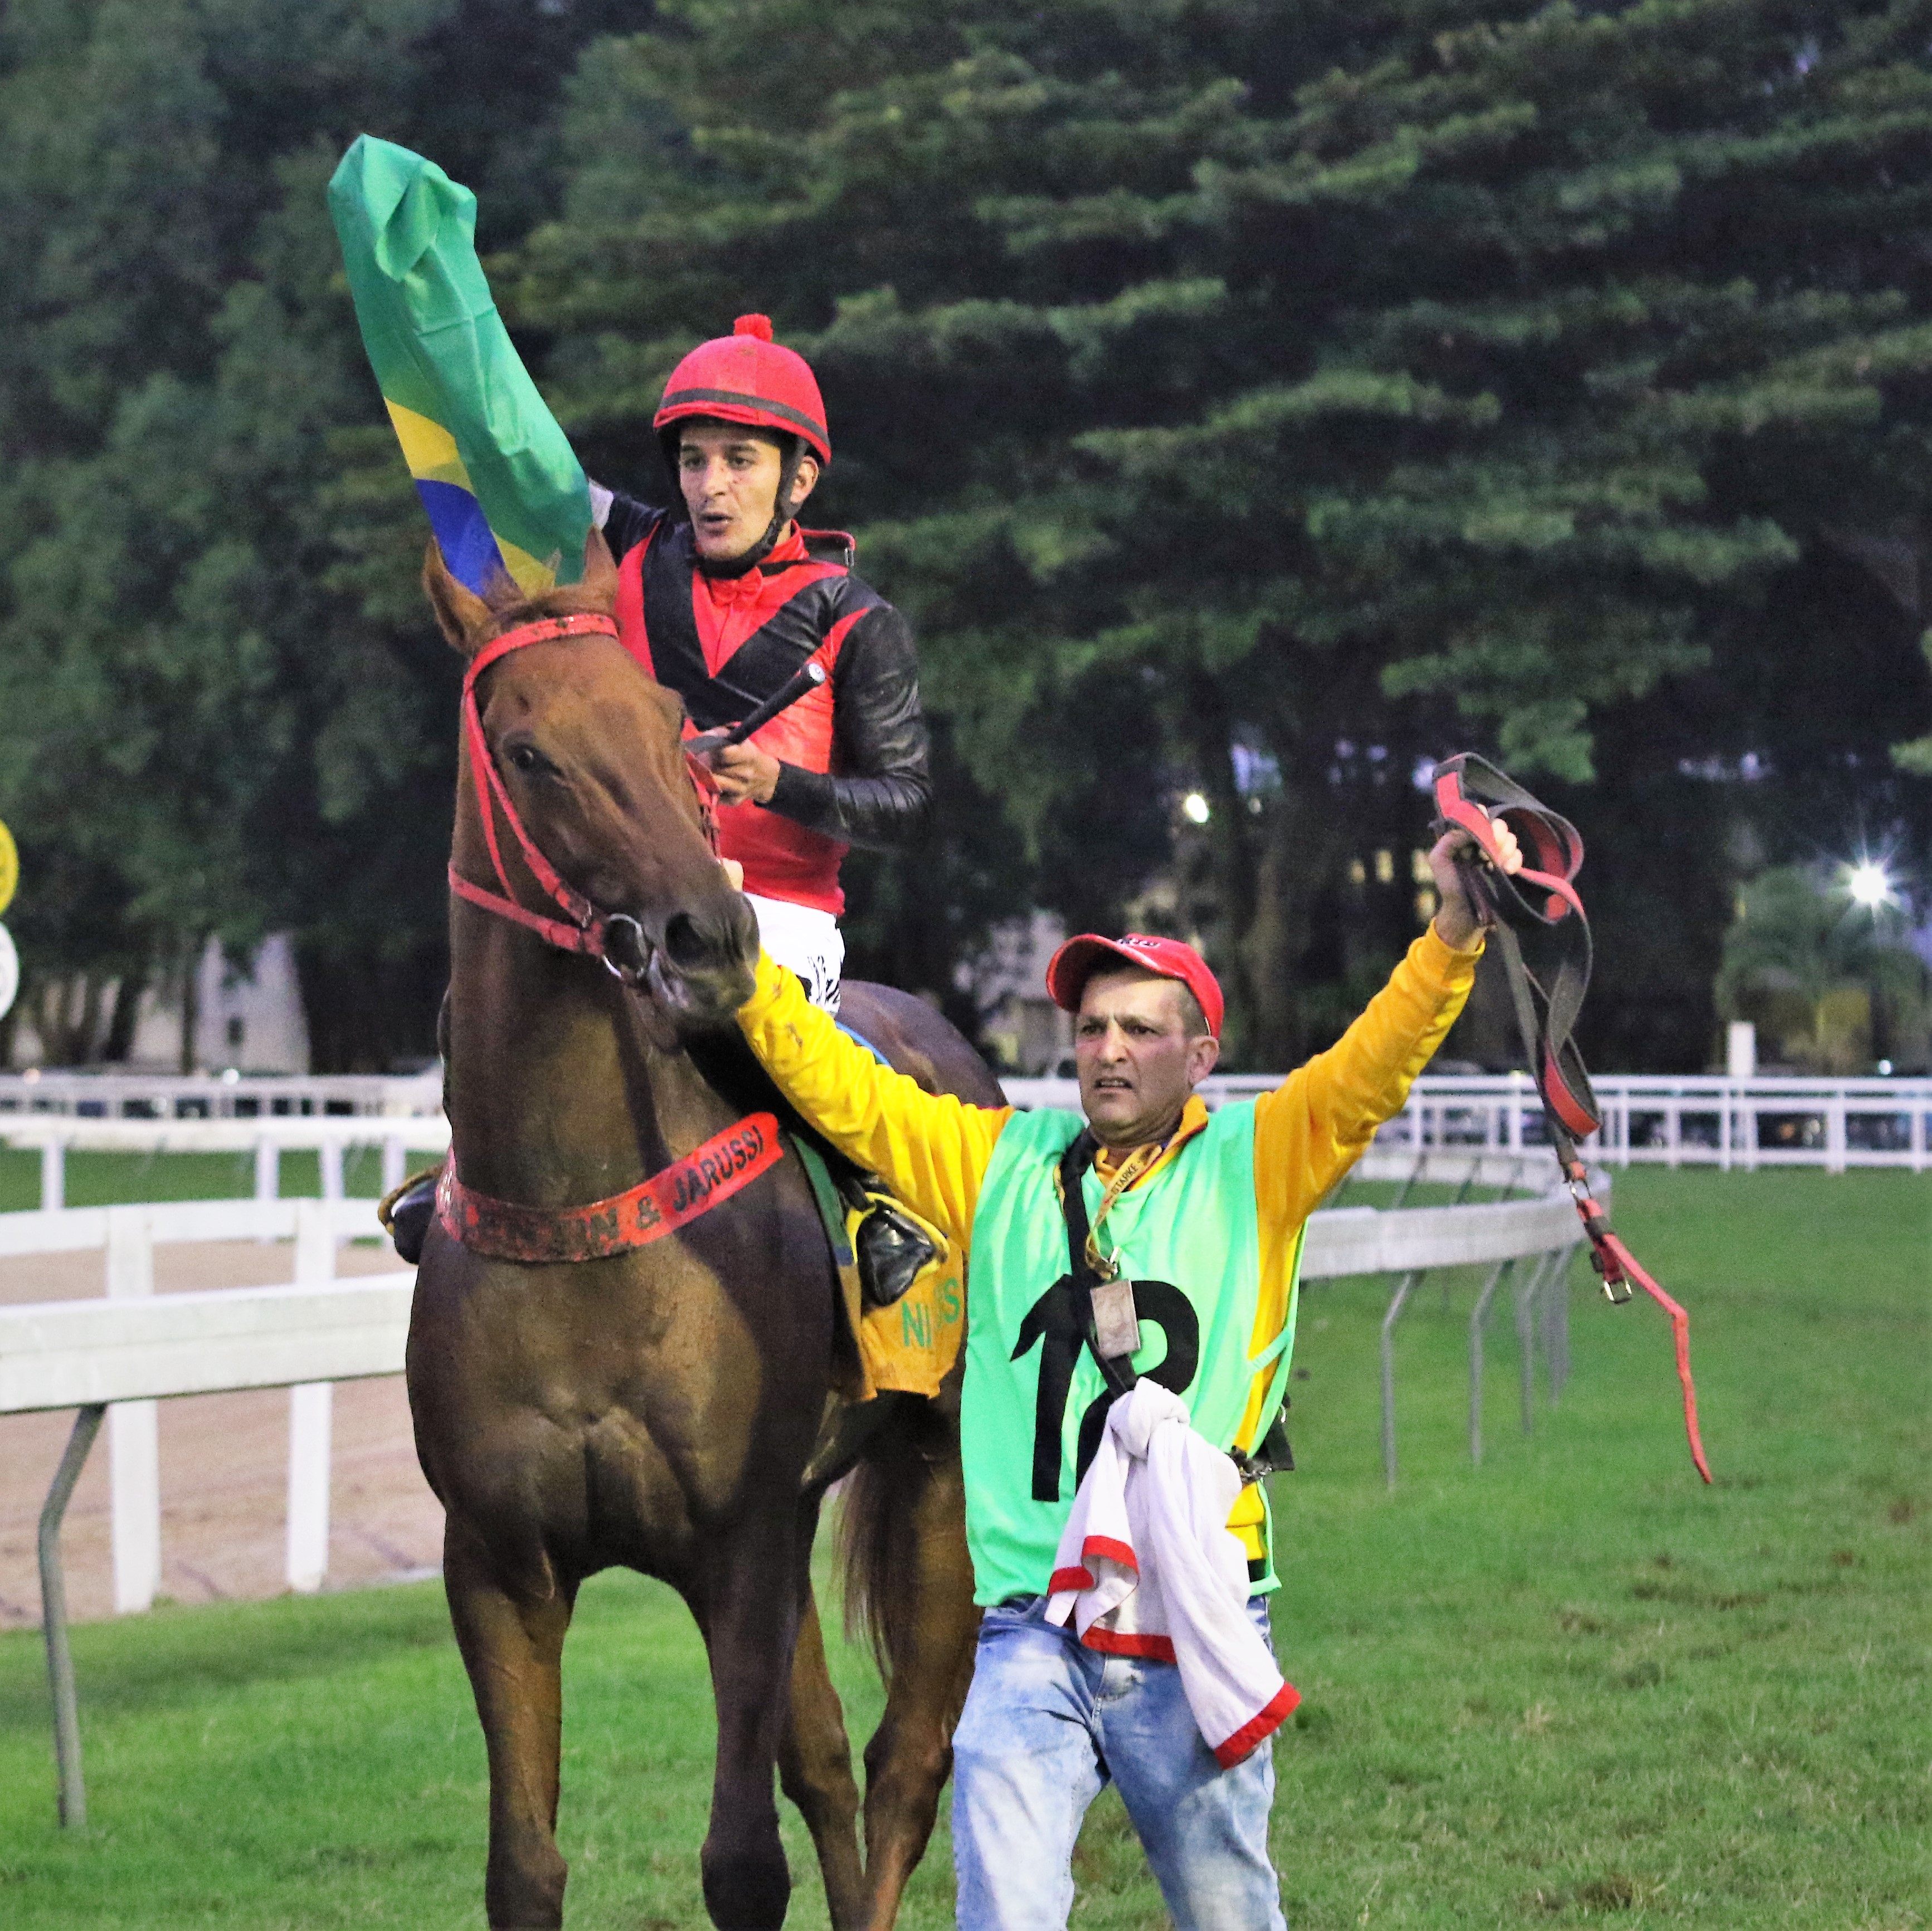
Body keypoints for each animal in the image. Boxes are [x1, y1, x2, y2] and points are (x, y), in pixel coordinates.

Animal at [403, 540, 981, 1931]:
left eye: (672, 725)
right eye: (527, 751)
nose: (707, 935)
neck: (581, 1215)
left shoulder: (738, 1545)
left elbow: (741, 1859)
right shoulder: (496, 1563)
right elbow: (524, 1866)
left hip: (935, 1467)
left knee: (904, 1760)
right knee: (828, 1759)